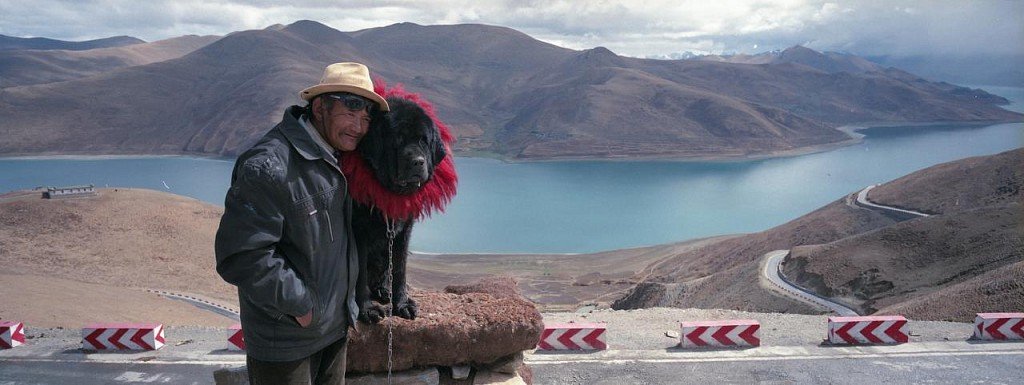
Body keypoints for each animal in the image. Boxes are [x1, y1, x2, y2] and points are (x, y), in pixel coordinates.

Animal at [354, 95, 446, 321]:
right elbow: (360, 274)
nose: (418, 162)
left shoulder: (404, 231)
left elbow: (399, 270)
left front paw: (402, 304)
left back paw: (383, 290)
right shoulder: (358, 230)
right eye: (398, 139)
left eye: (423, 140)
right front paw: (366, 309)